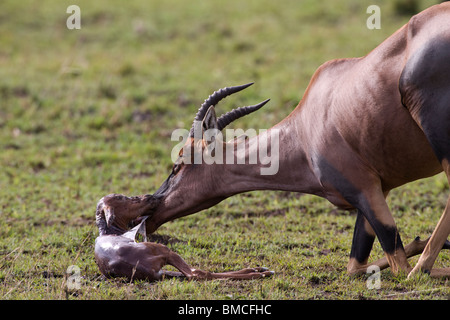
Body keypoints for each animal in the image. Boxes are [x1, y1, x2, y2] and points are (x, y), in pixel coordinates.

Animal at [94, 192, 274, 280]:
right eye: (121, 198)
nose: (152, 197)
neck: (112, 232)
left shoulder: (163, 271)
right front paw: (258, 271)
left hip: (163, 266)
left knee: (192, 274)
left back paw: (259, 270)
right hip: (166, 251)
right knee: (196, 273)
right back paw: (259, 274)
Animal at [134, 3, 450, 278]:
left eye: (178, 165)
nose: (149, 214)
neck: (306, 125)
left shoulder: (364, 189)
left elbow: (397, 264)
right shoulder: (376, 190)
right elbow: (356, 266)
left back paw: (420, 270)